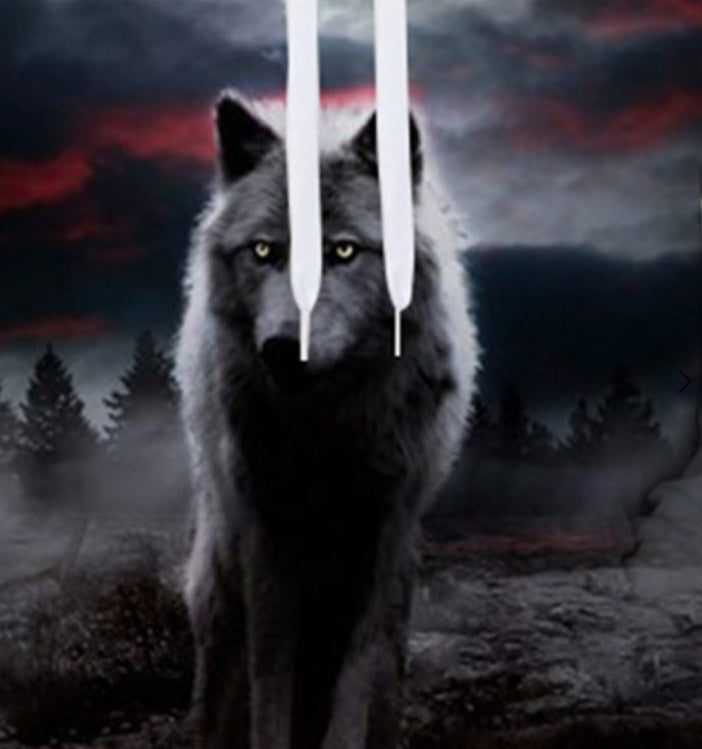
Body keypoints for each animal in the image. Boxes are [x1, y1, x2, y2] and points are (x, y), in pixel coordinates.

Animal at [175, 90, 479, 749]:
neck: (328, 426)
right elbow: (270, 679)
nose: (282, 350)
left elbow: (355, 679)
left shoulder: (382, 533)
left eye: (342, 251)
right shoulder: (267, 532)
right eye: (265, 250)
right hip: (220, 578)